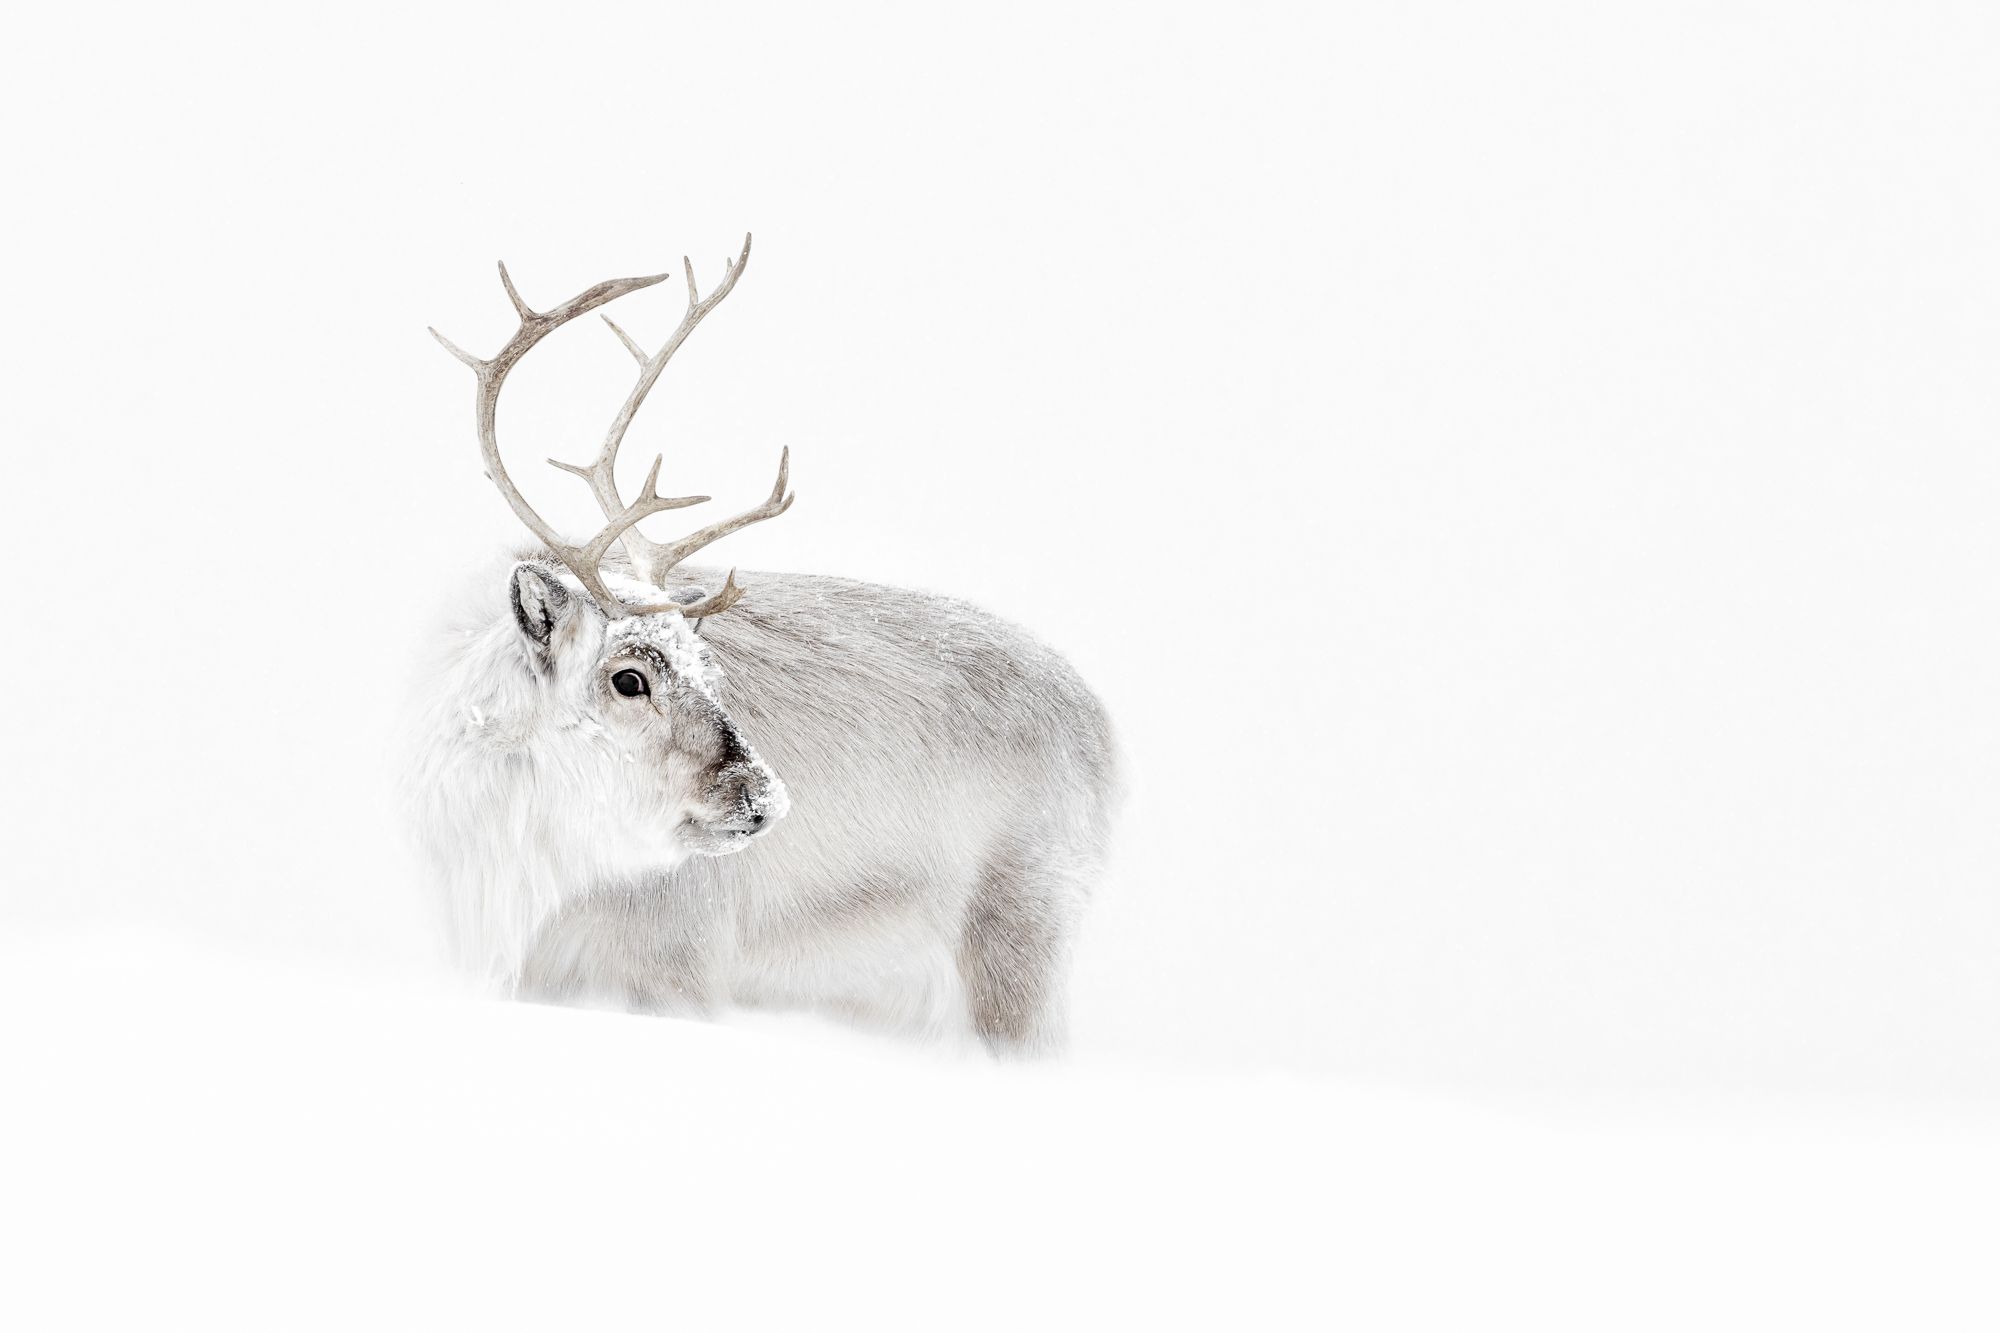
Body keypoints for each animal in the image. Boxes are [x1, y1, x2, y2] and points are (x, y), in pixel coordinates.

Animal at [404, 236, 1118, 1054]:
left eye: (708, 667)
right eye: (628, 677)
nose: (765, 799)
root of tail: (1104, 734)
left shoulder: (677, 965)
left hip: (1020, 940)